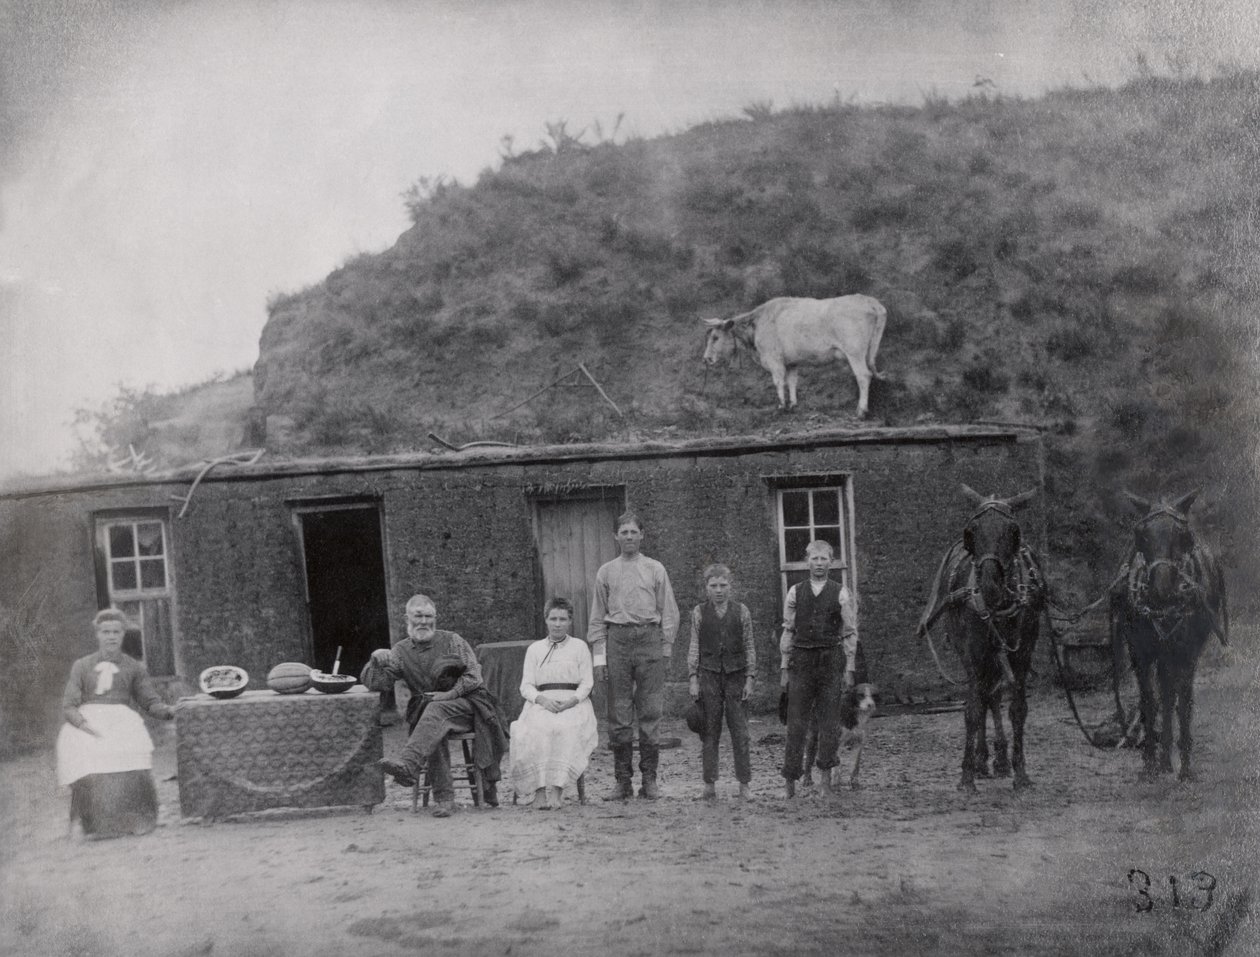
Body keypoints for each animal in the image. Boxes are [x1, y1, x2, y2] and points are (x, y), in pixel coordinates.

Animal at [700, 293, 887, 418]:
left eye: (715, 337)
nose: (706, 358)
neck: (757, 323)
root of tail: (870, 301)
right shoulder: (791, 362)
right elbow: (791, 382)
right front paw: (793, 405)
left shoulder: (774, 360)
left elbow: (778, 382)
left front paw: (781, 406)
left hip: (854, 352)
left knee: (863, 376)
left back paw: (861, 411)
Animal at [917, 486, 1043, 790]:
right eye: (971, 532)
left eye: (1013, 531)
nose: (989, 586)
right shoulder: (973, 655)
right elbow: (973, 710)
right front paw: (967, 774)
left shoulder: (1023, 654)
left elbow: (1017, 708)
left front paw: (1020, 771)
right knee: (985, 696)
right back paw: (982, 759)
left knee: (993, 695)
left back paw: (999, 760)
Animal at [1118, 488, 1224, 780]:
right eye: (1141, 534)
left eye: (1183, 535)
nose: (1161, 590)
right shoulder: (1139, 653)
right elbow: (1149, 701)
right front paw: (1149, 763)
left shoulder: (1187, 653)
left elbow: (1184, 701)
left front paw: (1185, 767)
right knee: (1164, 695)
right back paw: (1163, 759)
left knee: (1172, 695)